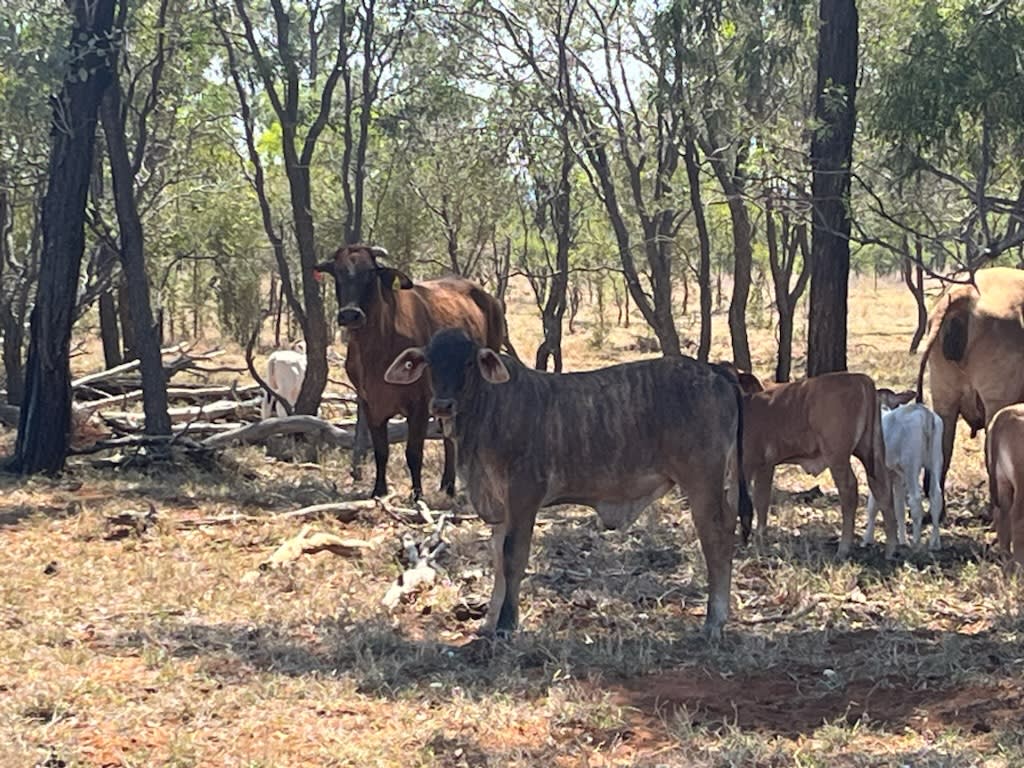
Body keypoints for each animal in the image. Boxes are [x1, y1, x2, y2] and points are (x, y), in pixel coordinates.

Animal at [314, 244, 505, 501]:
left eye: (370, 273)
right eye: (338, 273)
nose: (350, 314)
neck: (376, 349)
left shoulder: (419, 404)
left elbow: (414, 452)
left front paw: (416, 494)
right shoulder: (370, 403)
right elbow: (381, 451)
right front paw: (379, 490)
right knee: (449, 438)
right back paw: (448, 485)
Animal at [384, 328, 753, 642]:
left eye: (468, 362)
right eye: (431, 362)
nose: (442, 405)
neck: (489, 411)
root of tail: (715, 371)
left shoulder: (524, 496)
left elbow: (513, 557)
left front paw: (507, 624)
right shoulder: (499, 506)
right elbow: (498, 559)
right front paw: (489, 621)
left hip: (702, 483)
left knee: (717, 541)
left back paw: (714, 622)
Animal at [740, 372, 899, 558]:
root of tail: (860, 378)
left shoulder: (749, 464)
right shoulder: (765, 466)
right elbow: (761, 501)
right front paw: (759, 539)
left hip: (837, 456)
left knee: (849, 489)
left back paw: (843, 548)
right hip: (872, 451)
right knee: (882, 487)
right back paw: (891, 549)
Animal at [863, 401, 945, 551]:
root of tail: (925, 413)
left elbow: (873, 506)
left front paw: (867, 540)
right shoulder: (897, 476)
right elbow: (899, 509)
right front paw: (902, 540)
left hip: (911, 464)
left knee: (916, 499)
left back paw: (916, 543)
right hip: (936, 458)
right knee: (936, 495)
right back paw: (934, 543)